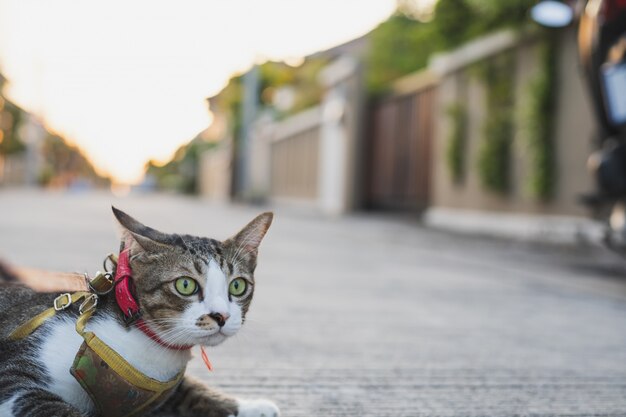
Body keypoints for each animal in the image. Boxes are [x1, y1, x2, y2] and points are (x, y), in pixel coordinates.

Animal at [0, 206, 278, 416]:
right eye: (185, 285)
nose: (222, 316)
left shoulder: (161, 392)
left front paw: (252, 406)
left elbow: (191, 390)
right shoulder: (15, 376)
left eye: (238, 285)